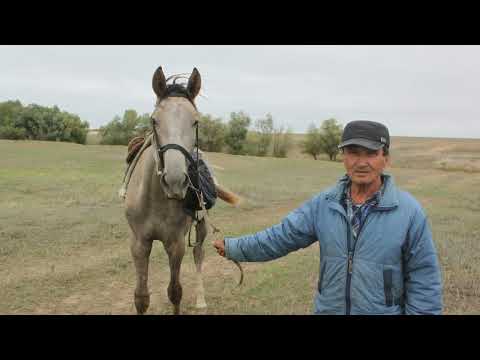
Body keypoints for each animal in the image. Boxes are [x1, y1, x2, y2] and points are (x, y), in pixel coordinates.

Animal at [124, 66, 236, 314]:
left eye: (196, 122)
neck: (156, 200)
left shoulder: (175, 244)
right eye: (154, 120)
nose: (175, 181)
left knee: (198, 254)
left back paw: (201, 299)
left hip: (201, 225)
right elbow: (141, 297)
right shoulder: (139, 243)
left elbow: (175, 292)